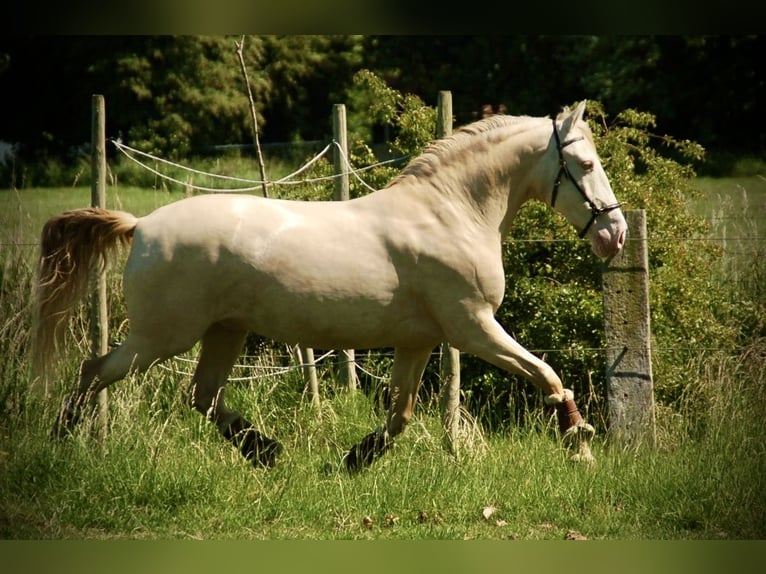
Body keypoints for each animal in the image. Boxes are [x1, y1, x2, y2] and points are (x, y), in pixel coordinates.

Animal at [33, 101, 626, 472]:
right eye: (585, 163)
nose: (615, 234)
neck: (452, 213)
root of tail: (141, 226)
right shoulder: (473, 329)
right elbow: (547, 375)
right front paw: (580, 445)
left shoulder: (420, 341)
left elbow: (400, 413)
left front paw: (353, 460)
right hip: (163, 336)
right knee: (94, 373)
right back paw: (59, 448)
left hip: (224, 331)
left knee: (201, 396)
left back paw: (266, 452)